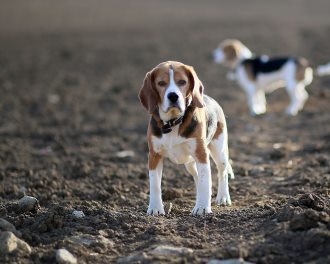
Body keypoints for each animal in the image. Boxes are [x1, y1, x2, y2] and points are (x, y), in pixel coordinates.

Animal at [138, 61, 233, 217]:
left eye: (182, 82)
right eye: (161, 83)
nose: (173, 96)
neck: (173, 121)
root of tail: (210, 99)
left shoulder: (201, 154)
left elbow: (205, 181)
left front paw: (202, 207)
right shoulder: (154, 155)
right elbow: (155, 185)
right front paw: (155, 208)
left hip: (219, 152)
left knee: (222, 173)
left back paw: (223, 197)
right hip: (190, 164)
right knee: (198, 176)